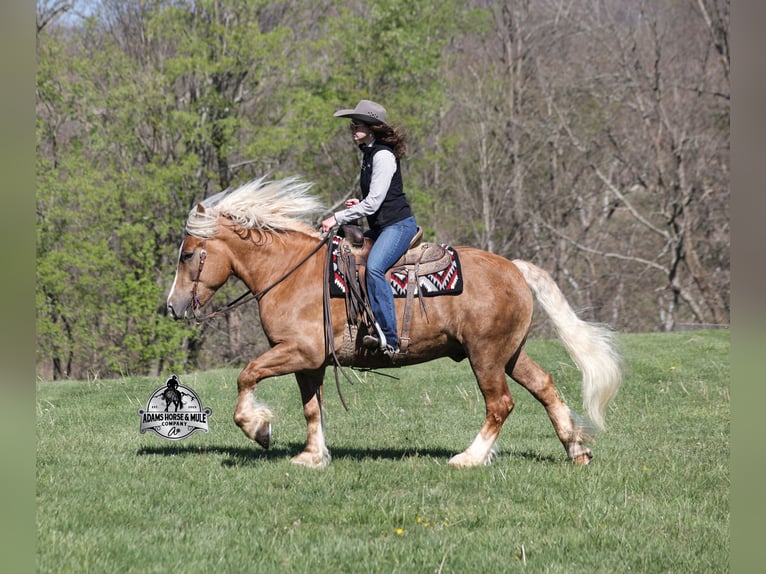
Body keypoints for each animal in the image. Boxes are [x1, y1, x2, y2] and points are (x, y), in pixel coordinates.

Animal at [166, 176, 622, 468]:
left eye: (187, 255)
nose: (172, 307)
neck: (293, 274)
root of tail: (513, 267)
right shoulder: (310, 362)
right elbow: (312, 408)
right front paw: (312, 457)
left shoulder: (298, 351)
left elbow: (246, 375)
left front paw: (258, 429)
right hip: (509, 352)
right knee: (544, 387)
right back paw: (576, 450)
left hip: (486, 355)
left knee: (500, 404)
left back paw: (469, 458)